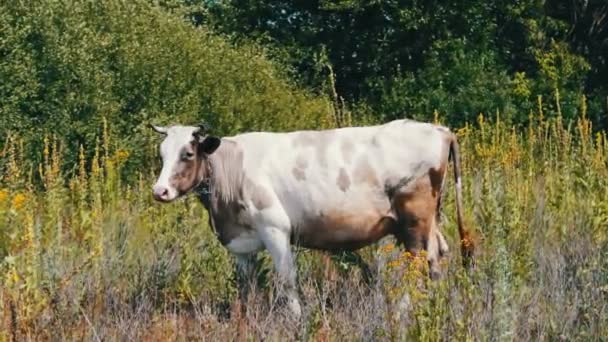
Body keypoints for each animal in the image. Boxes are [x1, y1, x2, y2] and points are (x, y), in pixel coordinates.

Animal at [151, 119, 476, 318]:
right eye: (162, 154)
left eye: (188, 153)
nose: (160, 190)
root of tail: (439, 129)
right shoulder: (240, 242)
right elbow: (246, 285)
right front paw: (245, 318)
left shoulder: (275, 229)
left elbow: (287, 279)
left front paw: (296, 320)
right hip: (429, 221)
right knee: (437, 258)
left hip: (414, 221)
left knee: (418, 264)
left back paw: (402, 312)